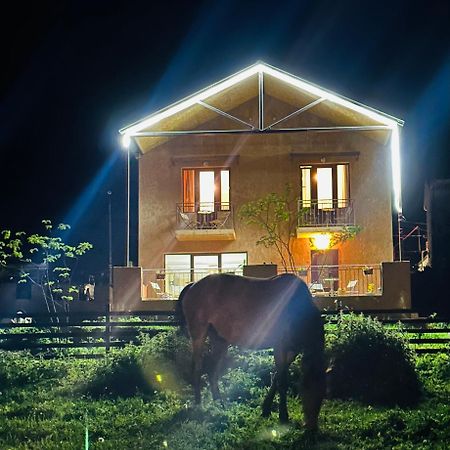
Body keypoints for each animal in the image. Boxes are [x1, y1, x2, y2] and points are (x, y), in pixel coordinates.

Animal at [178, 270, 326, 428]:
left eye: (322, 391)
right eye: (307, 388)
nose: (311, 427)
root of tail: (193, 285)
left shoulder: (292, 351)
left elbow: (276, 378)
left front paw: (266, 408)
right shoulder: (280, 347)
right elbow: (282, 381)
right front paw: (283, 416)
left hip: (220, 340)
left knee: (212, 371)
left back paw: (219, 404)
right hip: (199, 335)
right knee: (198, 368)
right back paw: (199, 404)